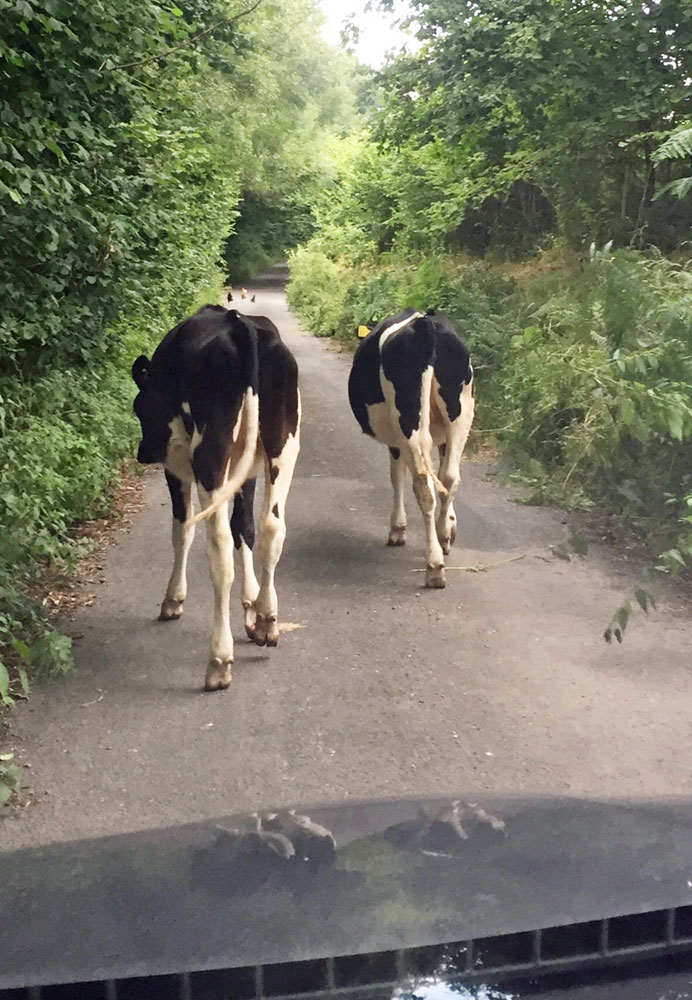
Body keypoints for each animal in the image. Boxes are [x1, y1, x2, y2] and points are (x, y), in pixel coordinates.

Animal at [132, 304, 300, 692]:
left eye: (138, 407)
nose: (143, 453)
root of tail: (240, 326)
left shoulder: (177, 465)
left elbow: (183, 530)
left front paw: (173, 599)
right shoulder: (246, 470)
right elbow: (246, 527)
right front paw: (252, 604)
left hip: (209, 458)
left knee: (219, 549)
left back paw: (219, 661)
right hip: (282, 444)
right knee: (272, 528)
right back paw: (268, 621)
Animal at [348, 308, 474, 588]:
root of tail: (425, 324)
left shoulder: (396, 442)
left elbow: (396, 477)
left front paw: (397, 530)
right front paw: (450, 526)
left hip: (408, 421)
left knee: (424, 486)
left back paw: (434, 566)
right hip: (461, 414)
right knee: (450, 477)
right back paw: (442, 538)